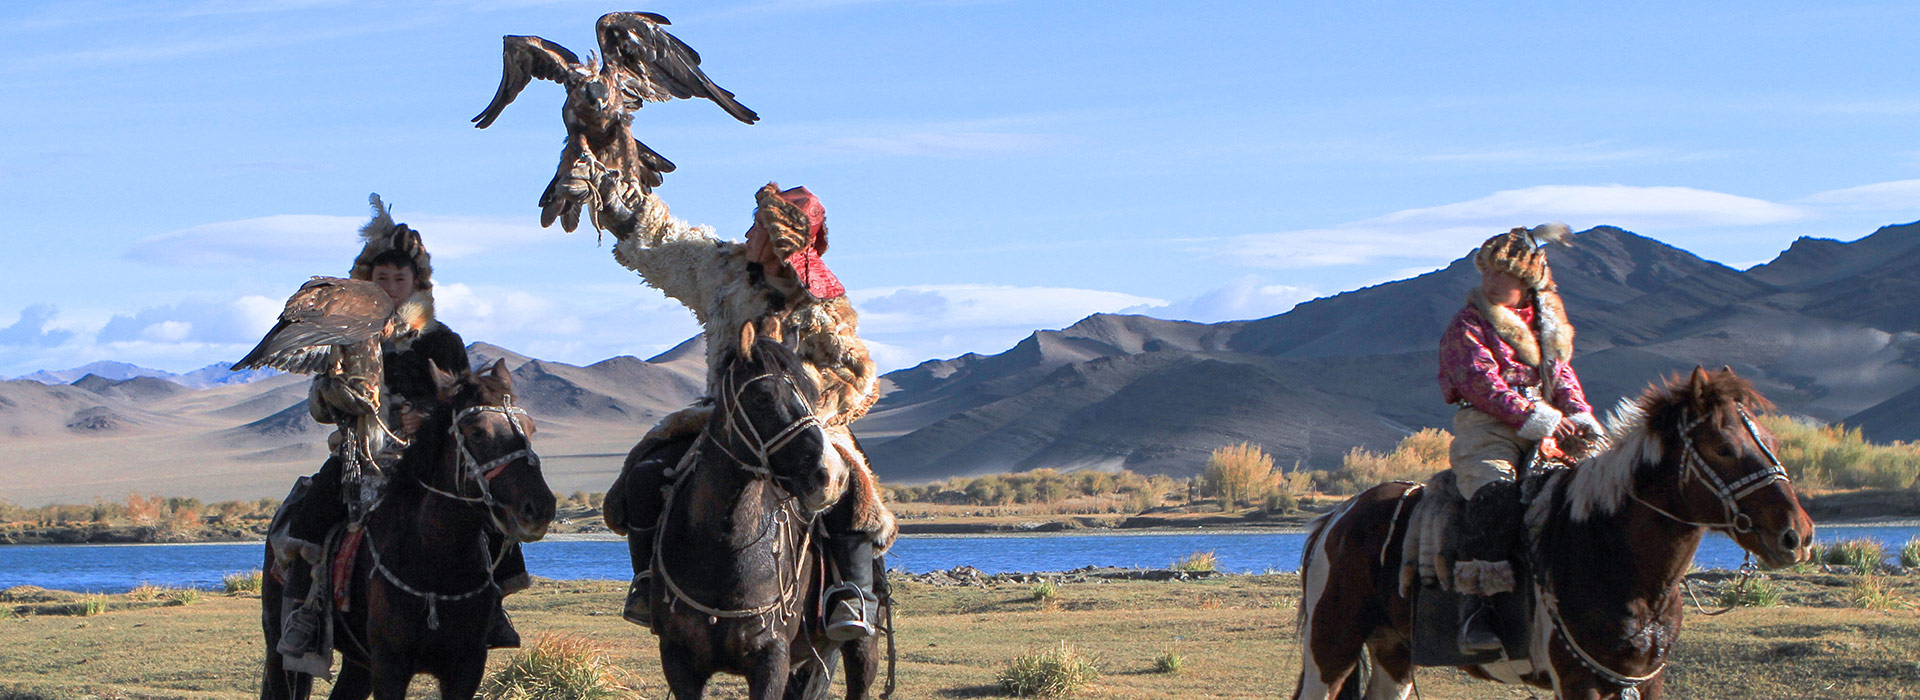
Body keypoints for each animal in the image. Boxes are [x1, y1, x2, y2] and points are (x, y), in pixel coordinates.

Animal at [261, 360, 556, 698]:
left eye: (530, 428)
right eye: (478, 432)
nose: (540, 508)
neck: (435, 564)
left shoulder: (467, 666)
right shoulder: (390, 665)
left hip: (359, 663)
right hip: (280, 650)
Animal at [1290, 368, 1812, 694]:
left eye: (1769, 439)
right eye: (1723, 447)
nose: (1798, 536)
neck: (1607, 549)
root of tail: (1336, 519)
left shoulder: (1644, 681)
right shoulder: (1578, 681)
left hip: (1393, 651)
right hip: (1331, 647)